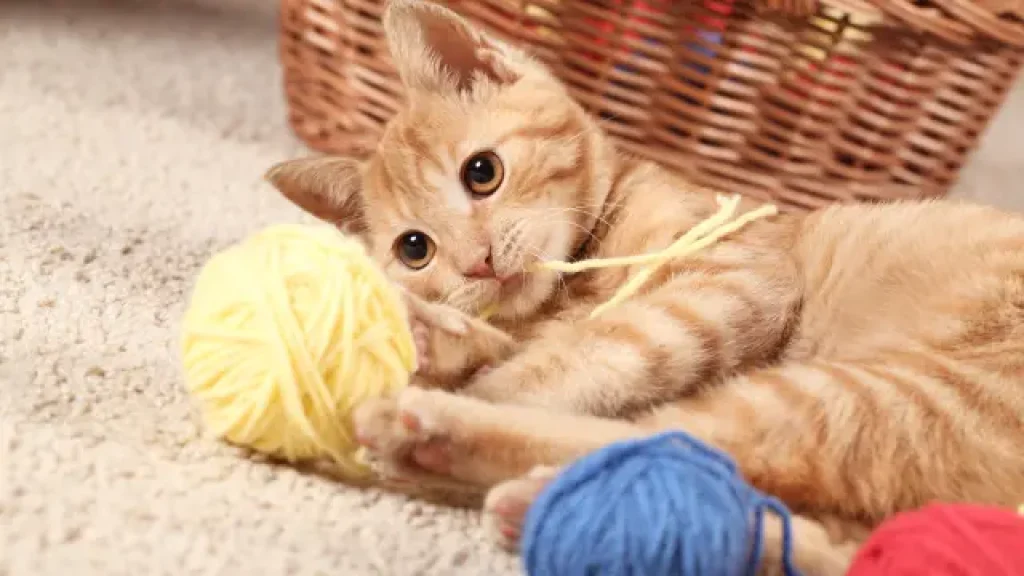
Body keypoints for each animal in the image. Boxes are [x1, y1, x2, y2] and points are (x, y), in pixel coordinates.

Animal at [266, 0, 1024, 569]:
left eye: (482, 172)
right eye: (415, 248)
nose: (477, 262)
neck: (575, 283)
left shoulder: (734, 279)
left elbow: (584, 357)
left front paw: (461, 377)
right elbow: (523, 343)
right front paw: (436, 335)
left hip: (876, 395)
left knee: (675, 437)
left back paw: (431, 433)